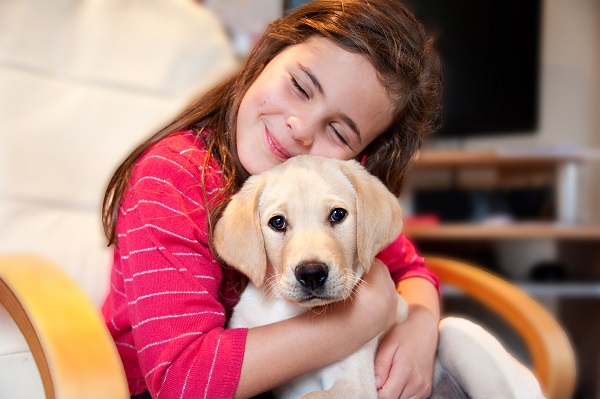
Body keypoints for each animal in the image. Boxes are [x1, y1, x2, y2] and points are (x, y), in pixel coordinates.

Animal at [214, 155, 544, 398]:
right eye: (277, 222)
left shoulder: (354, 384)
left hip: (458, 334)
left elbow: (311, 396)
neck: (292, 313)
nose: (311, 274)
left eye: (338, 215)